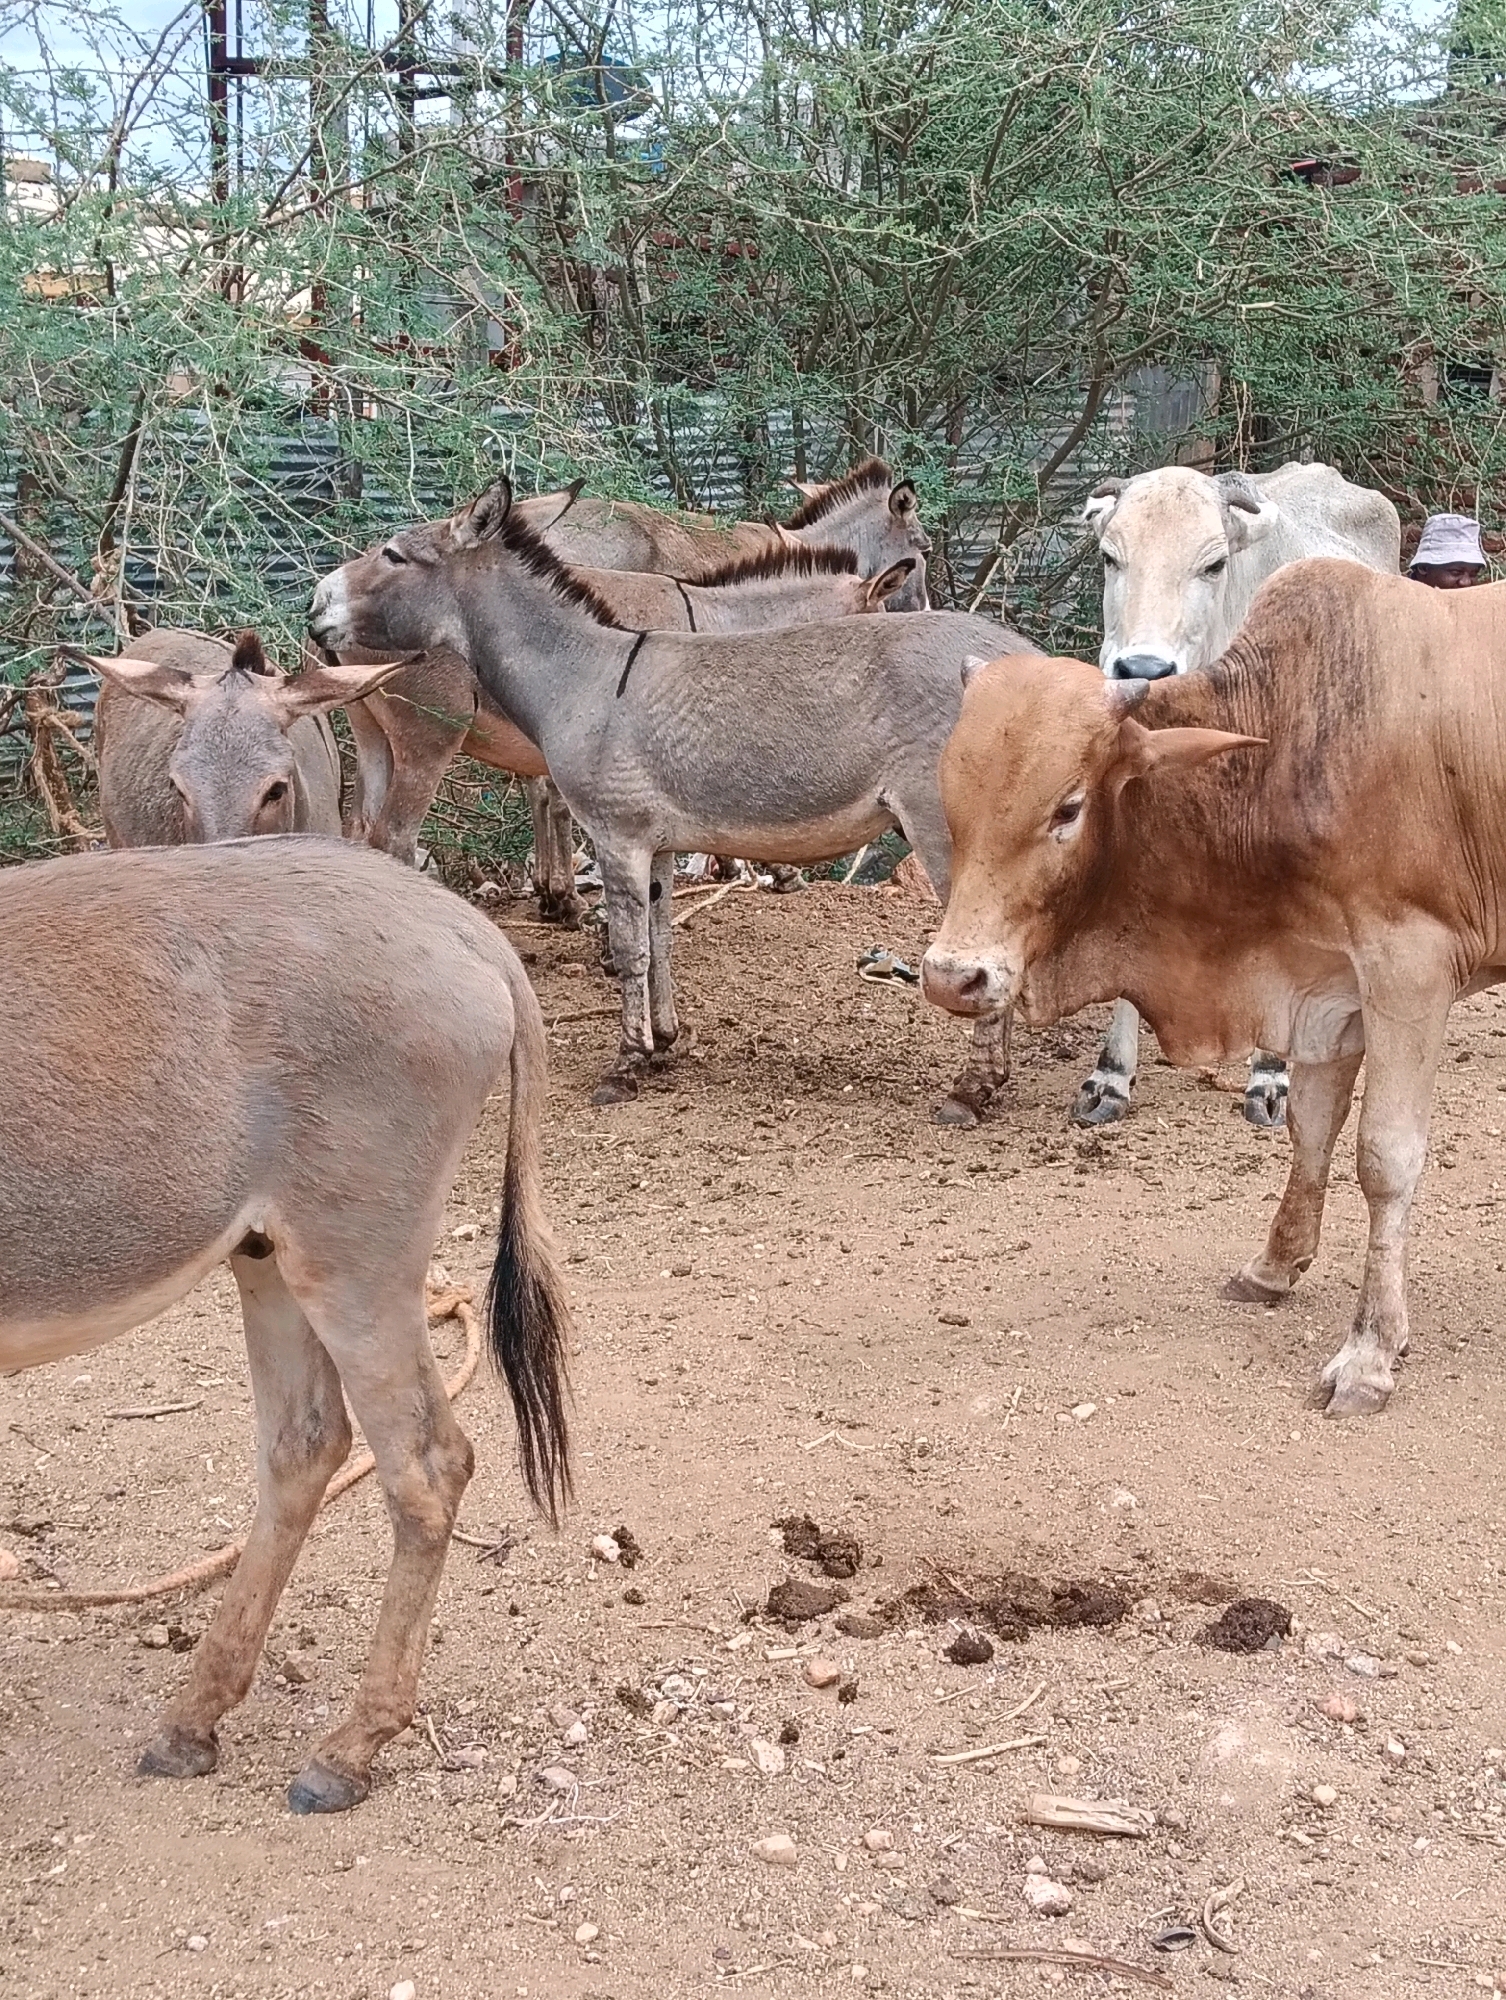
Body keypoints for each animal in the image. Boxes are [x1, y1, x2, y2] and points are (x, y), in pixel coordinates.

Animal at [920, 560, 1506, 1419]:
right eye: (952, 807)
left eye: (1068, 807)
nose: (952, 976)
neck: (1288, 747)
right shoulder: (1327, 982)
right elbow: (1311, 1129)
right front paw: (1274, 1266)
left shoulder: (1408, 969)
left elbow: (1384, 1157)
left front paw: (1370, 1352)